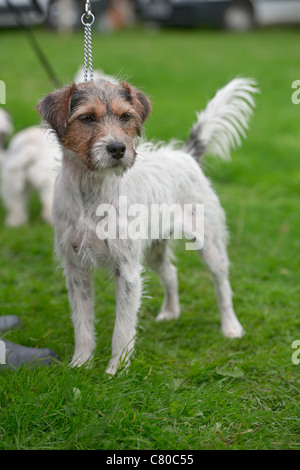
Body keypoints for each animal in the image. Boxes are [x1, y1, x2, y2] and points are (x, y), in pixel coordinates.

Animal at [36, 76, 258, 374]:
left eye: (125, 116)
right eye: (87, 118)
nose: (118, 149)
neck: (91, 191)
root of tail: (186, 155)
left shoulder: (128, 271)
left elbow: (122, 329)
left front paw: (116, 371)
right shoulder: (76, 270)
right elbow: (82, 324)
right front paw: (80, 364)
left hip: (209, 245)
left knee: (222, 286)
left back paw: (231, 327)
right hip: (153, 250)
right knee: (171, 273)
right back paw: (171, 312)